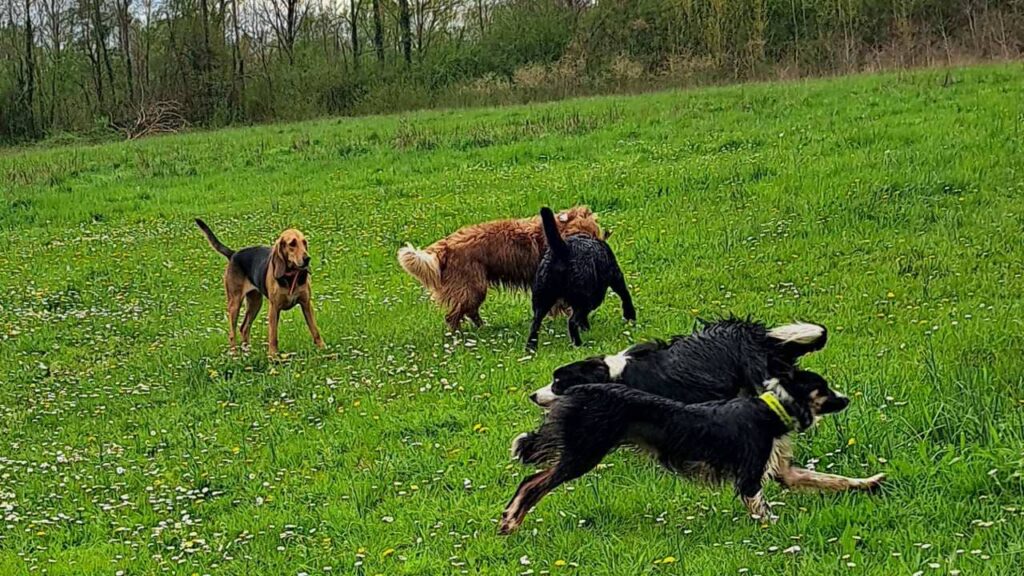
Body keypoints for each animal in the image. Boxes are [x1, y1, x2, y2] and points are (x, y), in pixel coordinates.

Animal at [195, 218, 323, 354]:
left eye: (304, 242)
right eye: (292, 244)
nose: (307, 258)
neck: (290, 276)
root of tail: (234, 254)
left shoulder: (306, 304)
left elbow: (315, 330)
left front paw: (323, 348)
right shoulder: (274, 308)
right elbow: (273, 336)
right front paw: (273, 355)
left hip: (255, 302)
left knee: (244, 327)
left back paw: (247, 352)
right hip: (234, 303)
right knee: (232, 333)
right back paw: (235, 354)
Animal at [495, 366, 880, 532]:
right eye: (824, 388)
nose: (846, 399)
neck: (771, 410)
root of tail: (580, 390)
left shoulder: (784, 472)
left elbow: (830, 479)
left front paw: (869, 483)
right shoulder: (749, 479)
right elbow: (764, 510)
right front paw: (776, 532)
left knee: (529, 481)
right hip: (583, 454)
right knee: (531, 484)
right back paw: (511, 522)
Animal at [528, 207, 630, 350]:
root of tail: (563, 250)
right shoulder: (615, 274)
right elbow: (625, 295)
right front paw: (630, 316)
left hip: (542, 298)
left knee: (535, 324)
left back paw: (531, 348)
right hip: (586, 299)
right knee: (572, 321)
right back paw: (578, 343)